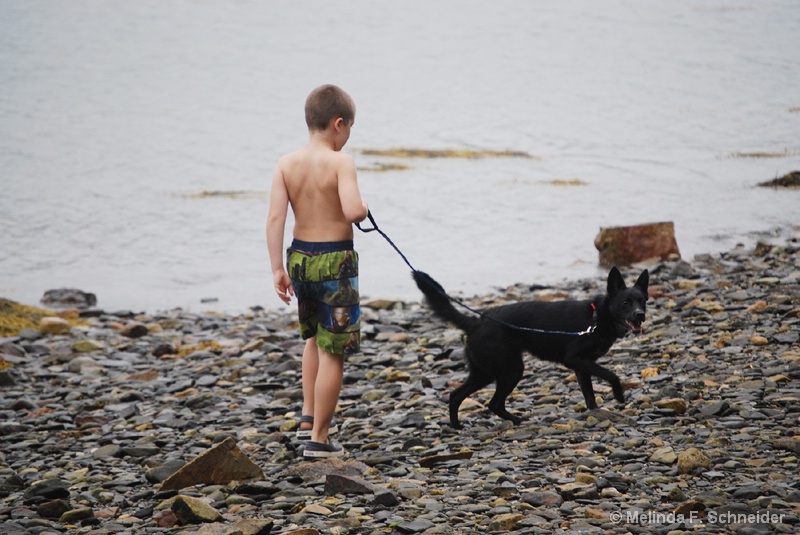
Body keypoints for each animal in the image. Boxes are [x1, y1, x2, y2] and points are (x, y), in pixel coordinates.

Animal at [416, 268, 648, 432]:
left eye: (642, 301)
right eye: (625, 302)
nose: (640, 315)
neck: (598, 318)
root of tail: (477, 322)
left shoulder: (582, 366)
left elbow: (590, 395)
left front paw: (595, 414)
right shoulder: (575, 359)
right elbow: (611, 375)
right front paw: (618, 395)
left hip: (484, 372)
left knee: (457, 395)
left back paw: (457, 426)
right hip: (510, 370)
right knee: (493, 403)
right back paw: (516, 420)